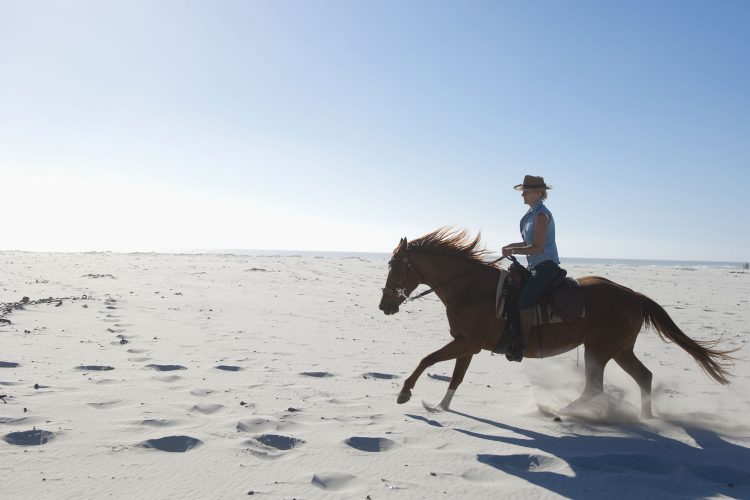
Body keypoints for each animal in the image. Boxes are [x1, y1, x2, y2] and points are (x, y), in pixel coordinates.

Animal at [378, 229, 736, 416]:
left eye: (395, 266)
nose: (384, 305)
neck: (471, 289)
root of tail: (633, 295)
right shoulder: (468, 344)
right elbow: (455, 376)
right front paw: (441, 406)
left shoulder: (466, 342)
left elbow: (427, 359)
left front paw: (405, 393)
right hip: (620, 350)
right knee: (643, 376)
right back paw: (646, 419)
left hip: (598, 350)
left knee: (595, 387)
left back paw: (562, 411)